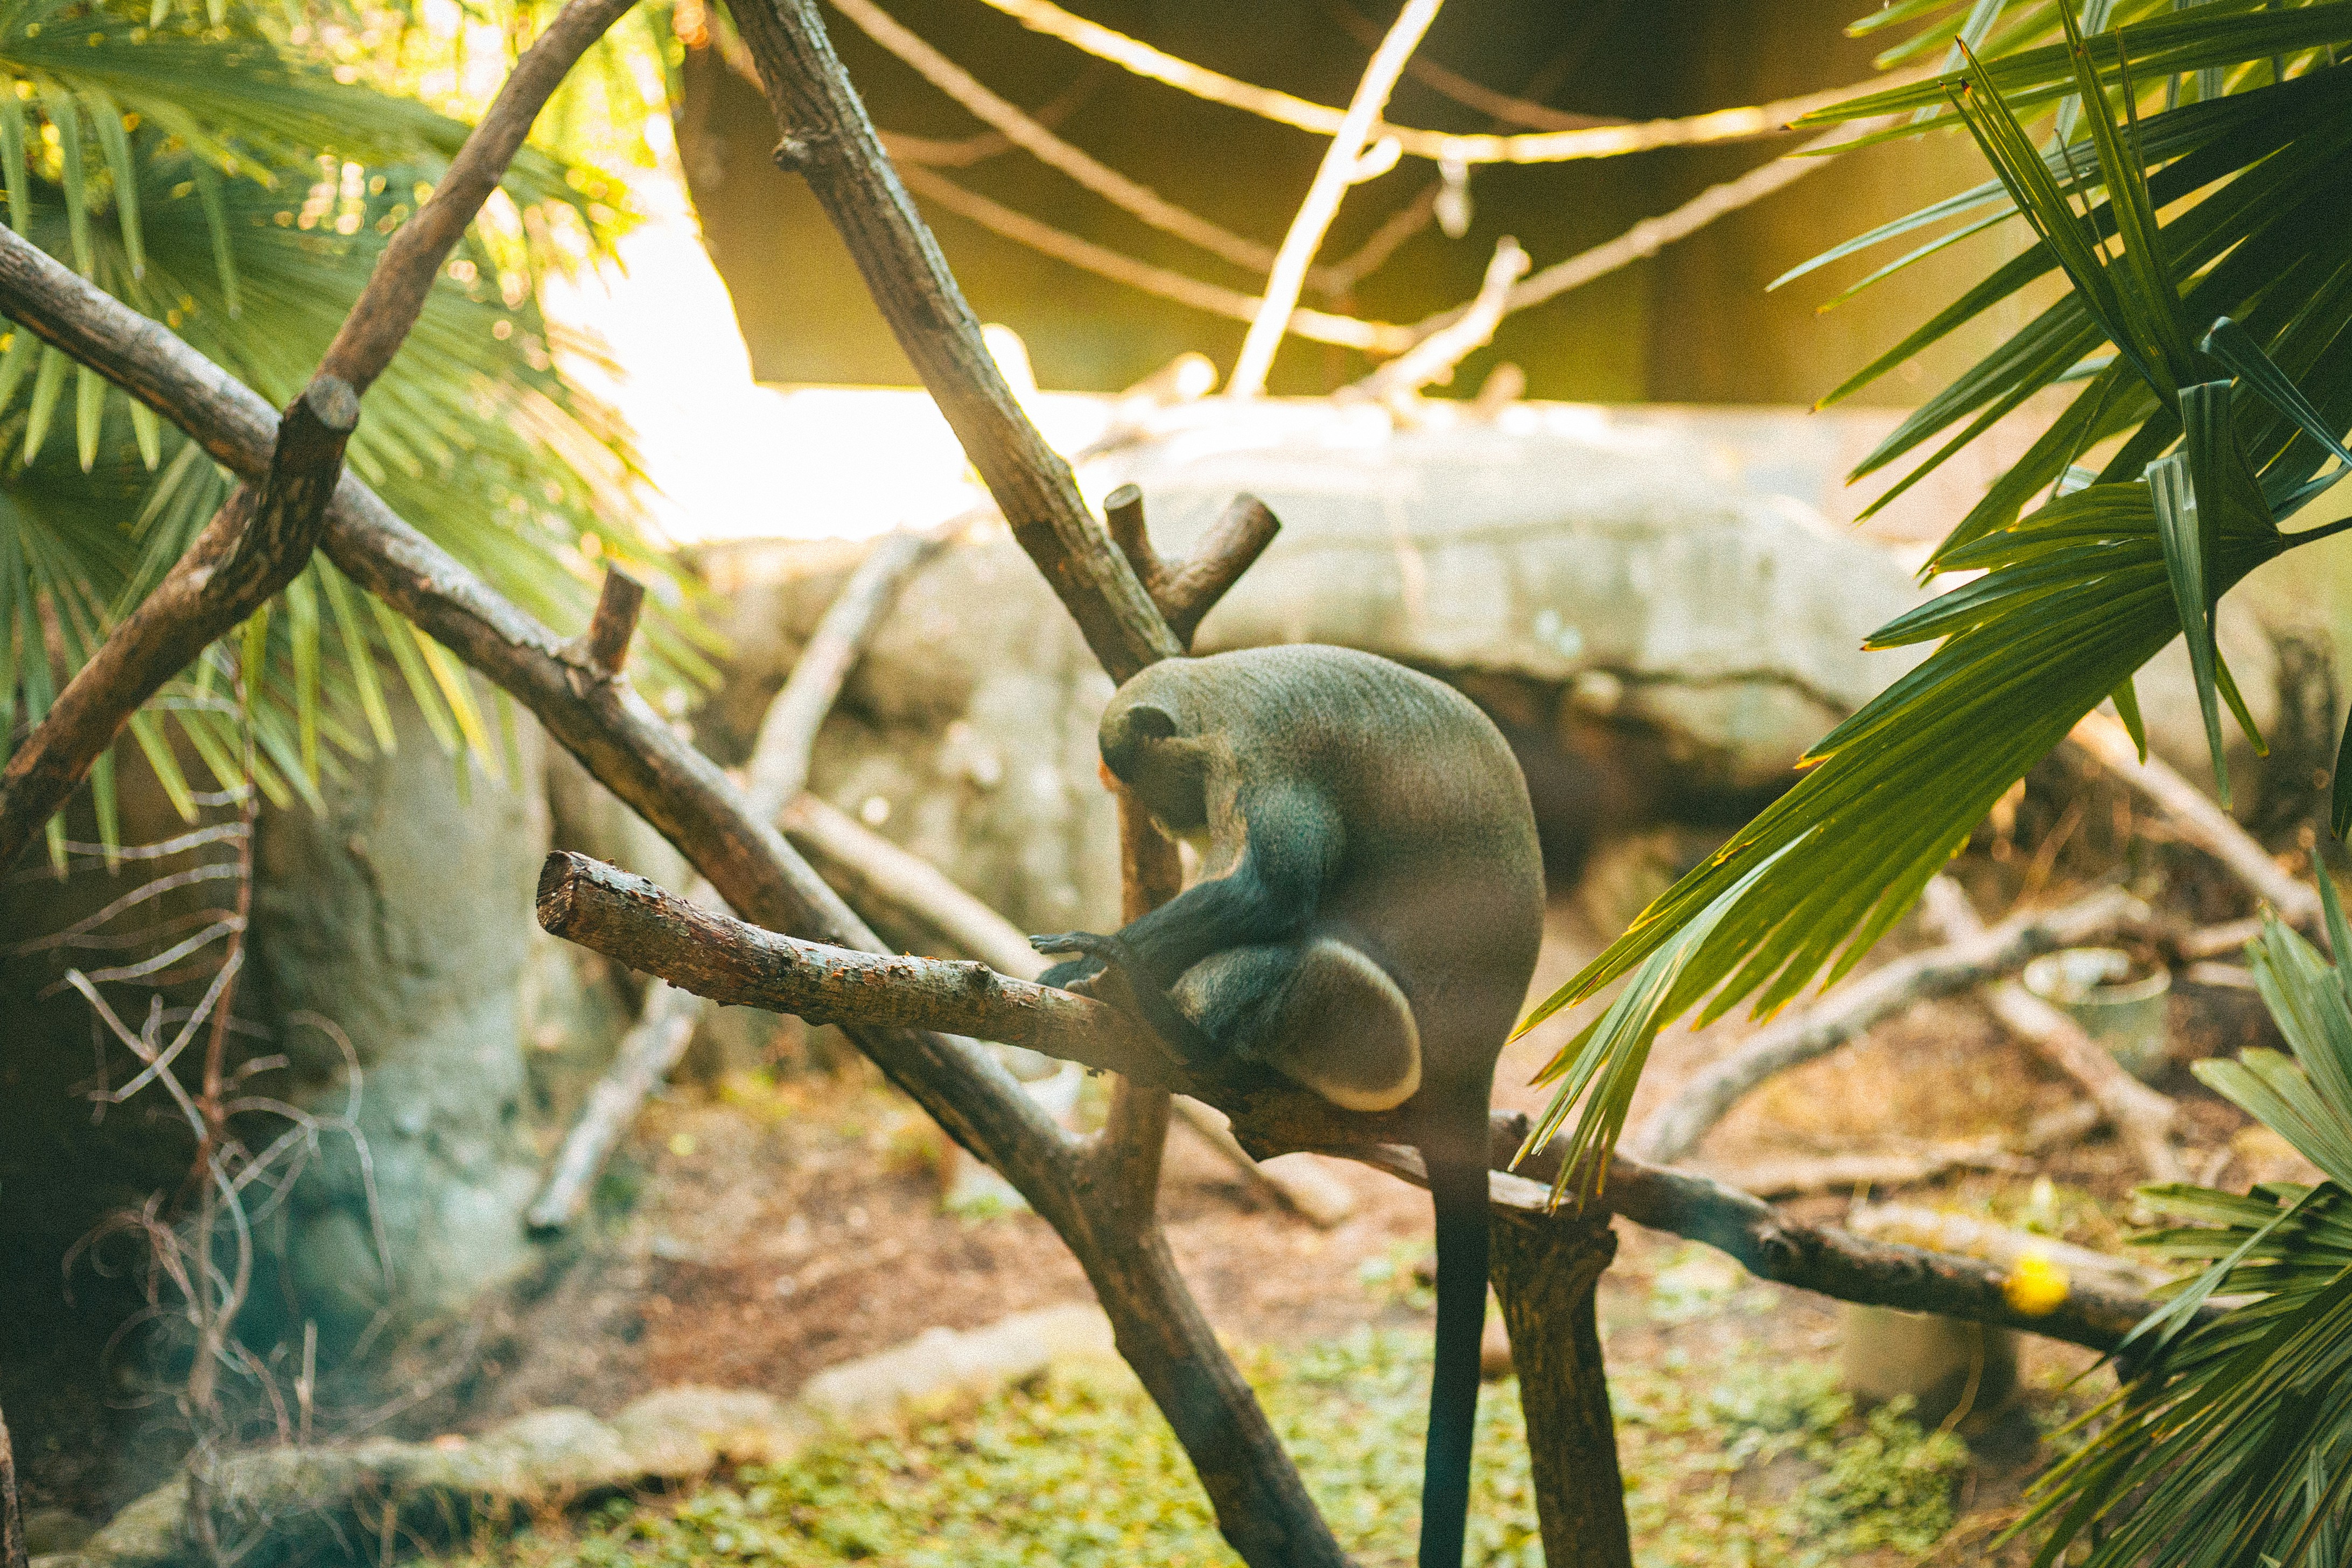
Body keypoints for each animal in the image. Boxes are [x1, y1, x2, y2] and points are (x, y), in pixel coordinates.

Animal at [1030, 643, 1545, 1568]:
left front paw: (1097, 960)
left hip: (1376, 1039)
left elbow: (1274, 892)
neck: (1217, 690)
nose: (1162, 824)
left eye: (1148, 786)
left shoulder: (1266, 759)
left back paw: (1169, 1025)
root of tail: (1472, 1070)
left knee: (1297, 948)